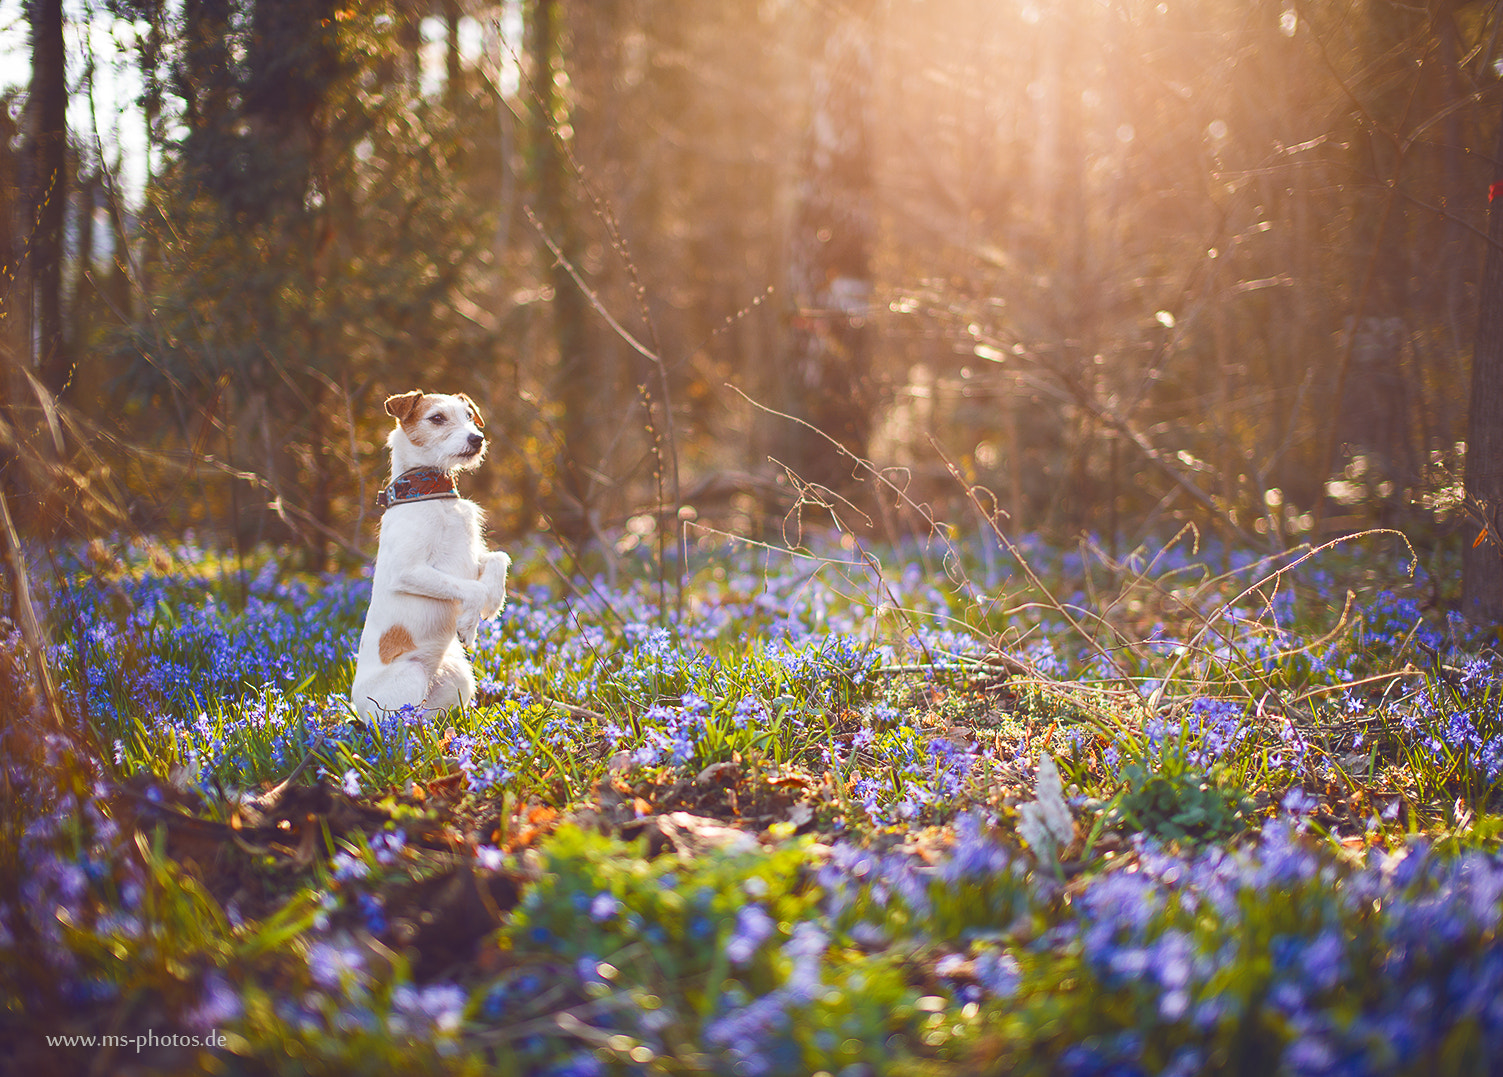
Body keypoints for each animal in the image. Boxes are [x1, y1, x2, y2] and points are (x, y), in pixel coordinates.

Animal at [350, 390, 511, 718]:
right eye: (437, 418)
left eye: (468, 416)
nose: (477, 438)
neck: (432, 494)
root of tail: (355, 708)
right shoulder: (408, 572)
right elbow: (471, 588)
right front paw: (469, 624)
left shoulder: (472, 559)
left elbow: (499, 557)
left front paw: (493, 601)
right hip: (410, 679)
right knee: (402, 723)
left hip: (459, 679)